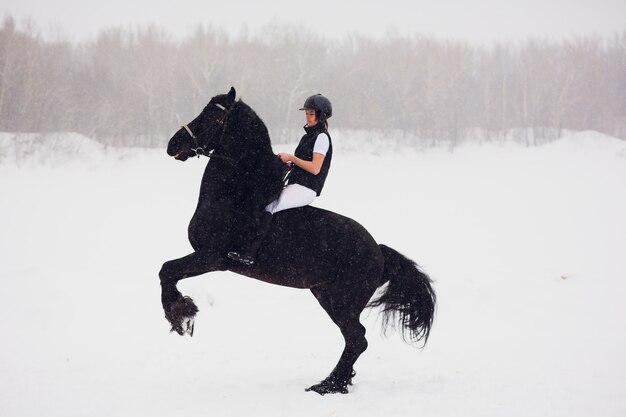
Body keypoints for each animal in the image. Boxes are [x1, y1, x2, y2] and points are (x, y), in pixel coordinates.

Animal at [158, 87, 436, 394]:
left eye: (213, 116)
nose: (173, 144)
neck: (232, 195)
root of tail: (378, 251)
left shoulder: (213, 257)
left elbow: (167, 270)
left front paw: (181, 315)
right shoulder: (207, 257)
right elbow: (167, 271)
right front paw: (182, 312)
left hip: (341, 302)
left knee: (357, 339)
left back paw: (328, 385)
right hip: (325, 295)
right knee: (354, 340)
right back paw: (332, 382)